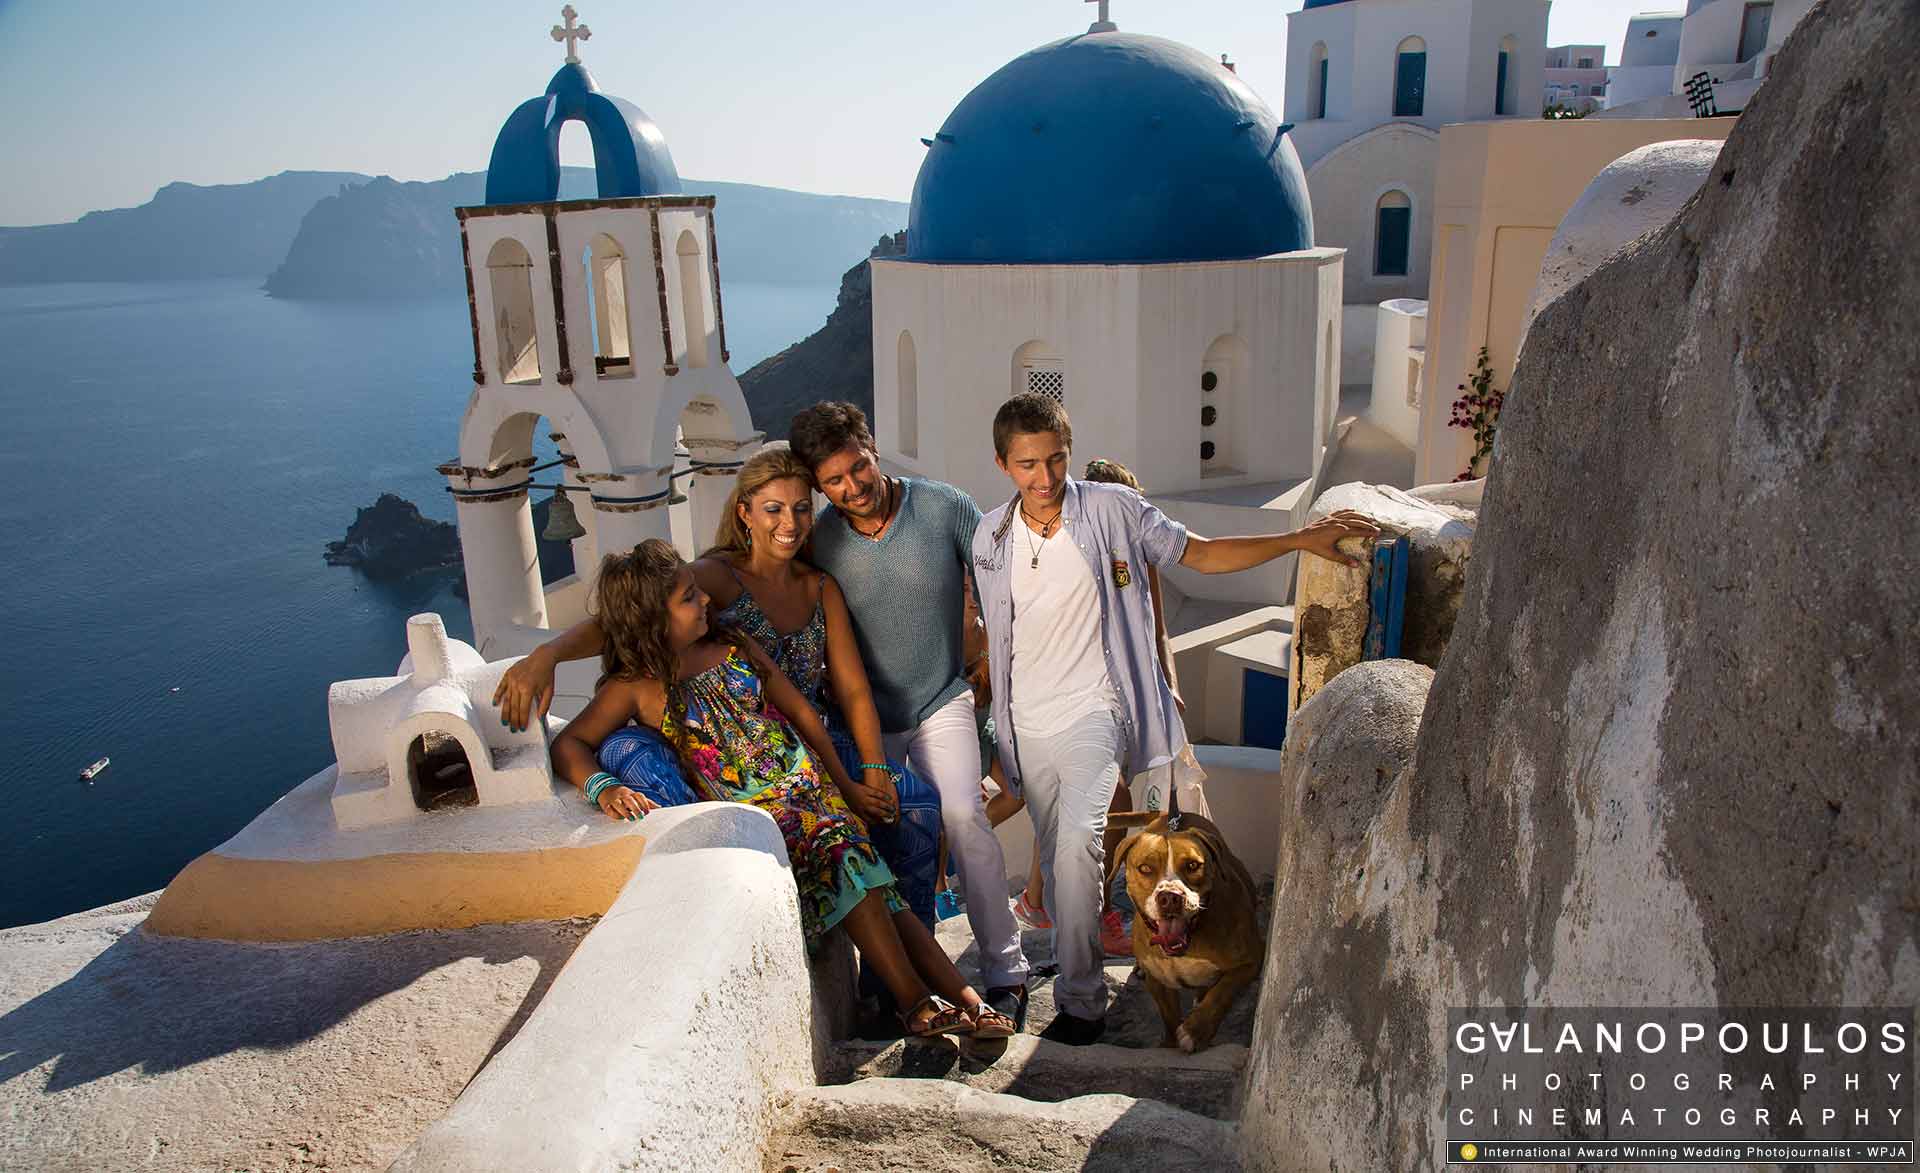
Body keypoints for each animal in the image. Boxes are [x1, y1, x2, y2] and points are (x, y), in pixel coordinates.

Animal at [1113, 806, 1259, 1052]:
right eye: (1145, 868)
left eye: (1193, 865)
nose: (1170, 897)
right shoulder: (1158, 981)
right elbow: (1170, 1017)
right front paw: (1171, 1044)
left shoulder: (1250, 961)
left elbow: (1221, 991)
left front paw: (1196, 1031)